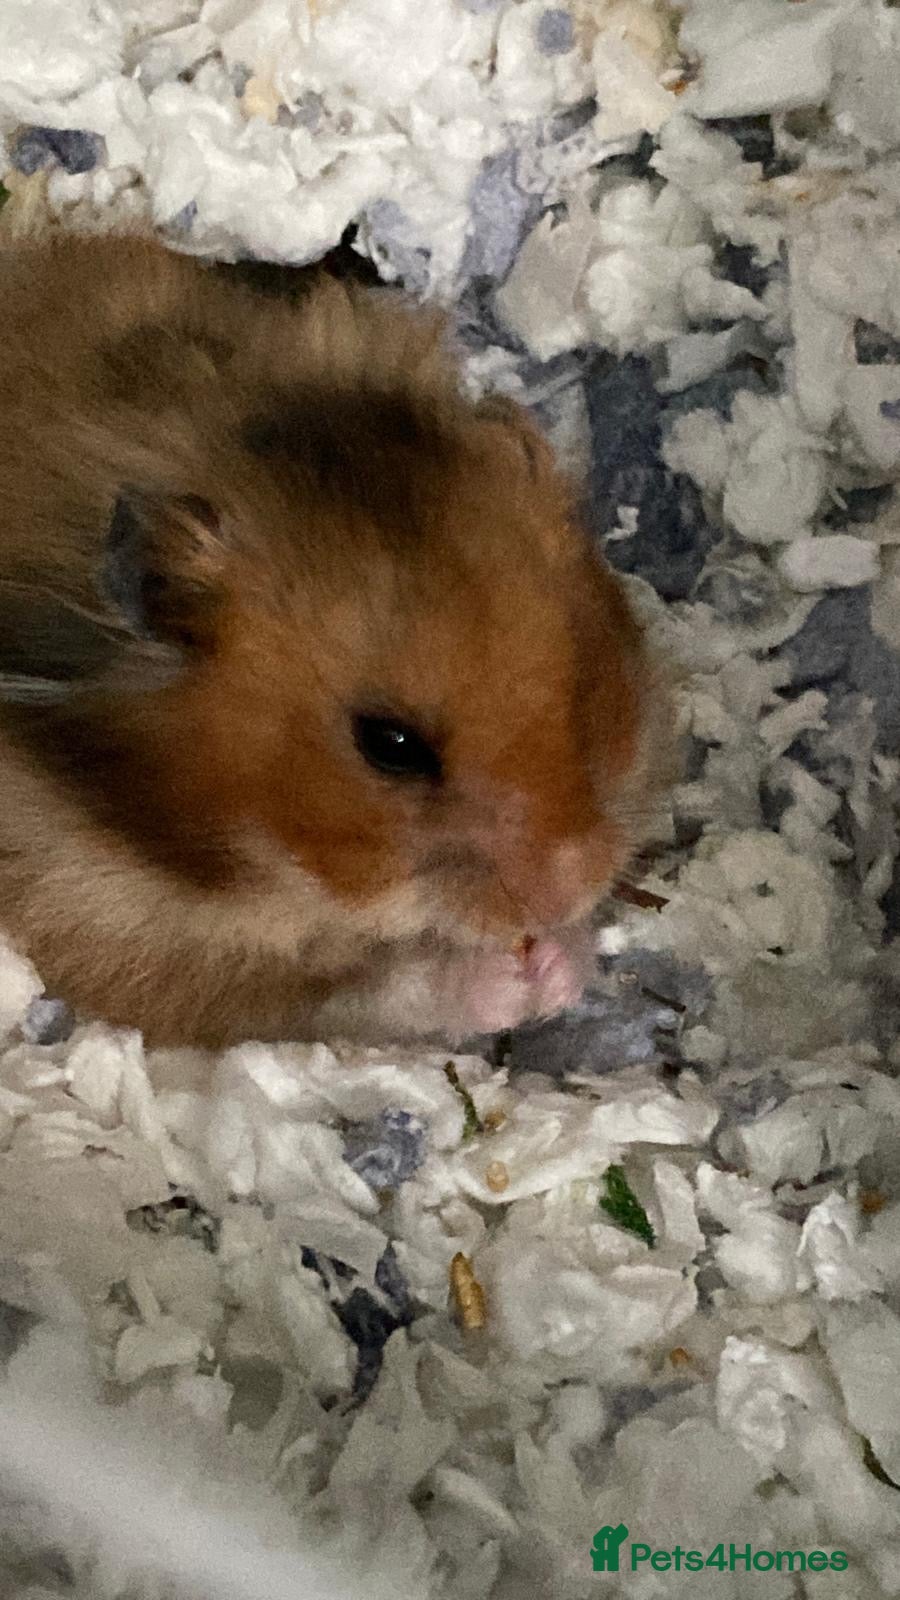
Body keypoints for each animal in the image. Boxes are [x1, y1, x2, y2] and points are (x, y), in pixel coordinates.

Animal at [0, 233, 667, 1052]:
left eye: (583, 684)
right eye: (390, 745)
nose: (571, 885)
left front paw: (563, 958)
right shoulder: (121, 934)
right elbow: (374, 989)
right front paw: (520, 976)